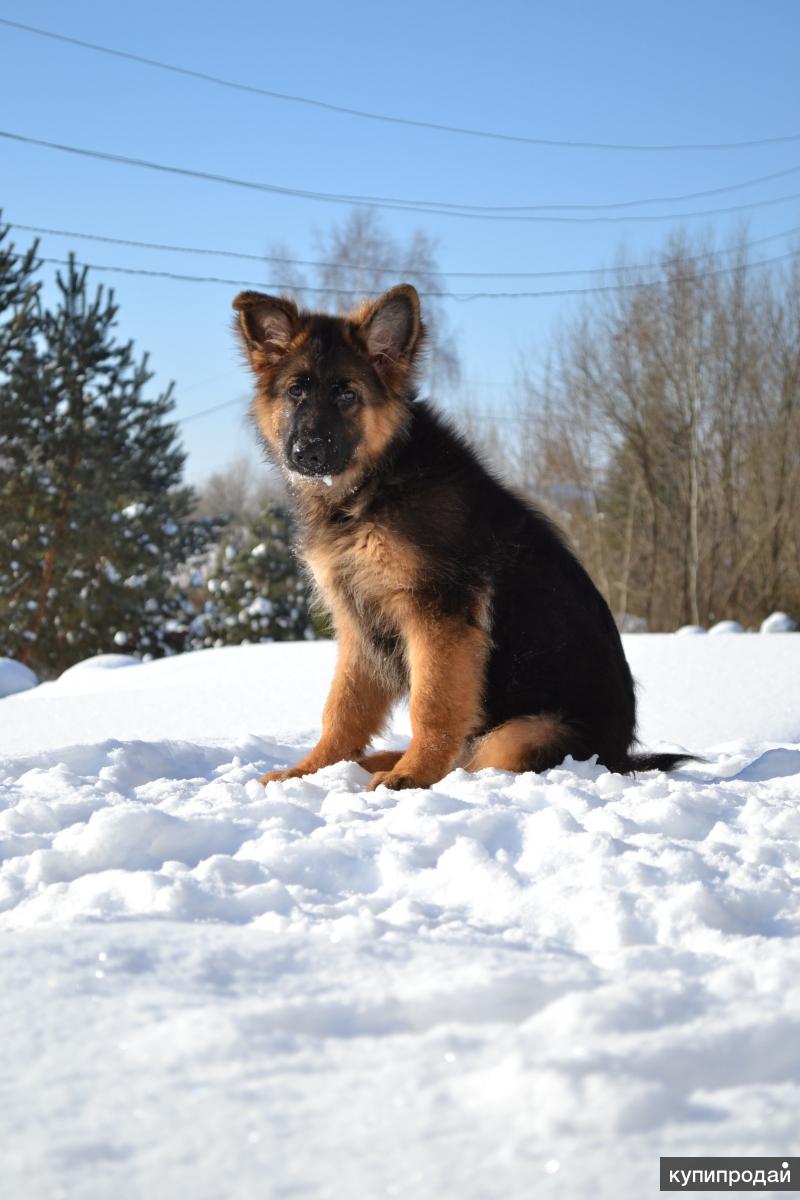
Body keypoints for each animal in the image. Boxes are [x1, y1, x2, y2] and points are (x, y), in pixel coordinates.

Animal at [231, 280, 690, 787]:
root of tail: (621, 757)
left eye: (347, 394)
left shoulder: (439, 616)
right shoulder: (358, 624)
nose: (307, 453)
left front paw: (413, 775)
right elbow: (343, 708)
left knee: (478, 756)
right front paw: (311, 770)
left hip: (523, 735)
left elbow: (432, 703)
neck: (378, 480)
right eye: (296, 391)